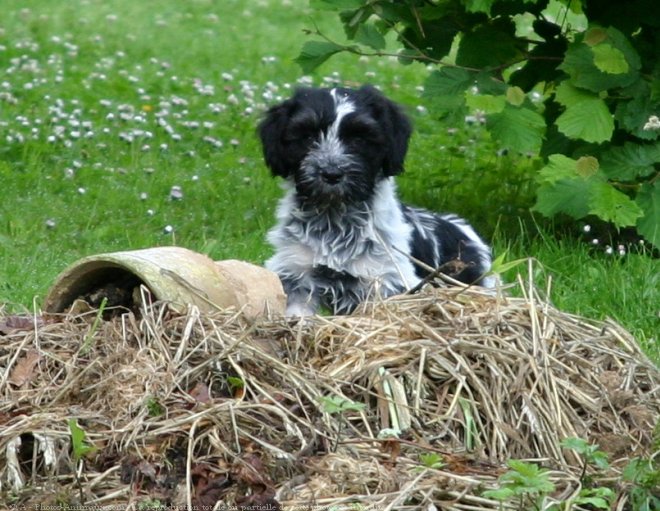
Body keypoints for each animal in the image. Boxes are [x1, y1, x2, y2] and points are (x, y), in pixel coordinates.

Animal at [258, 85, 496, 316]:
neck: (335, 219)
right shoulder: (296, 273)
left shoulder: (389, 280)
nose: (331, 174)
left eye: (359, 139)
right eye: (307, 137)